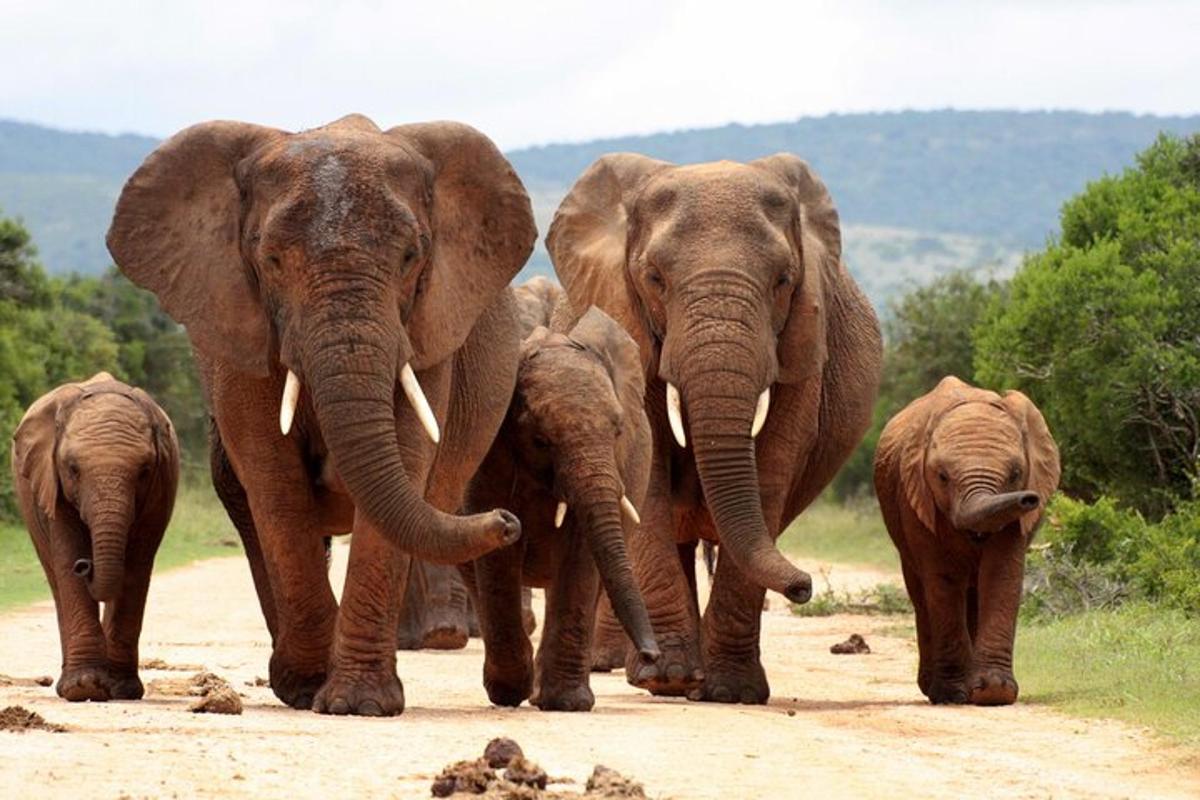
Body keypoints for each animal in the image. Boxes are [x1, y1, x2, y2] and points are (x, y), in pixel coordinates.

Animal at [8, 374, 177, 700]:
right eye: (73, 469)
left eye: (144, 471)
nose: (86, 565)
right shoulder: (51, 481)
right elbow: (67, 554)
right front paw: (84, 687)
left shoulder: (161, 486)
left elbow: (137, 565)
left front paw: (121, 689)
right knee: (55, 576)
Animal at [108, 110, 535, 714]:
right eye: (271, 261)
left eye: (411, 257)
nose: (508, 520)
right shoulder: (239, 326)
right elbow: (274, 479)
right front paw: (313, 688)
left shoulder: (426, 328)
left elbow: (406, 460)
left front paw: (358, 704)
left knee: (444, 511)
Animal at [463, 302, 662, 714]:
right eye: (540, 440)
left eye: (618, 430)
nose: (652, 655)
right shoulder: (489, 453)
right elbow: (498, 550)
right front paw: (511, 692)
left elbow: (581, 551)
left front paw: (566, 703)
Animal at [547, 153, 883, 705]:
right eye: (654, 278)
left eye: (784, 280)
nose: (804, 587)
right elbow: (650, 476)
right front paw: (669, 679)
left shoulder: (802, 346)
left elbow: (770, 471)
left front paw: (732, 692)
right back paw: (652, 673)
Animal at [873, 376, 1060, 705]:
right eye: (942, 476)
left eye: (1016, 474)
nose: (1029, 499)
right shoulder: (916, 501)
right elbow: (943, 580)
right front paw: (953, 695)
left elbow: (1001, 574)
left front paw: (994, 692)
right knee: (922, 594)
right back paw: (932, 688)